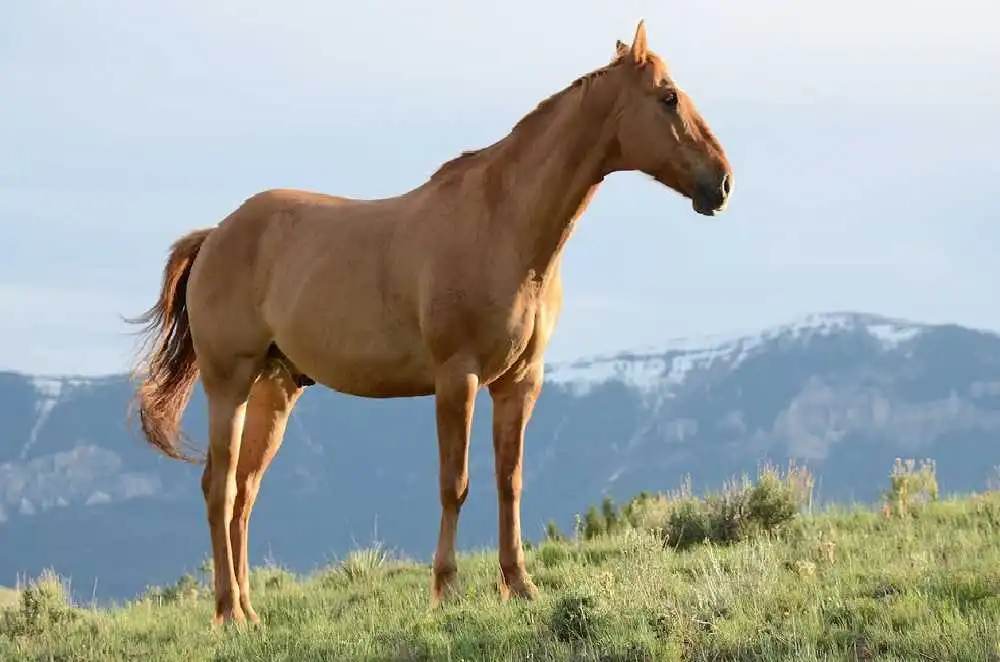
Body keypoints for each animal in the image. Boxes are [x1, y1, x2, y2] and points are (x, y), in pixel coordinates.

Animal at [129, 18, 732, 624]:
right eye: (668, 97)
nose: (723, 183)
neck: (504, 226)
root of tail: (216, 234)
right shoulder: (456, 377)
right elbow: (455, 484)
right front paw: (447, 588)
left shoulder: (520, 382)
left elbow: (510, 480)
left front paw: (519, 584)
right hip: (229, 383)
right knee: (220, 487)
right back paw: (229, 613)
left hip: (275, 390)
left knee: (246, 492)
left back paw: (250, 613)